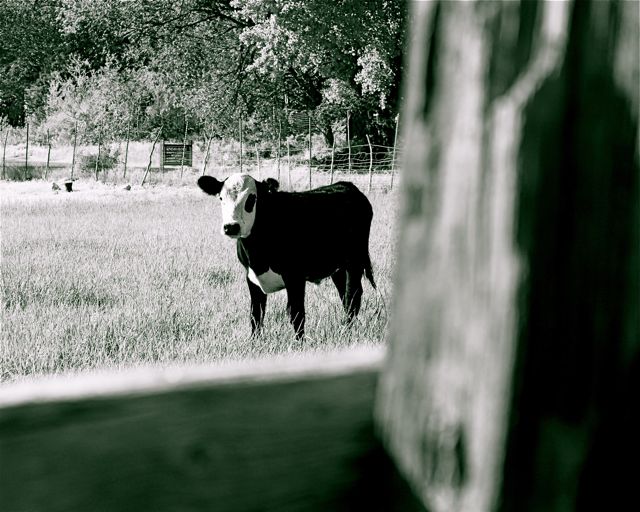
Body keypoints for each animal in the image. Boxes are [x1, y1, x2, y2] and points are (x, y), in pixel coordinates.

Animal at [198, 173, 376, 339]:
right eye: (221, 198)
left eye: (251, 198)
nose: (231, 227)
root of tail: (346, 185)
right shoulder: (251, 276)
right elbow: (256, 314)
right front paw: (254, 342)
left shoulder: (295, 277)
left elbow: (296, 314)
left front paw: (299, 343)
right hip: (338, 267)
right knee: (346, 295)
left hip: (355, 259)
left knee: (352, 295)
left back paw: (346, 330)